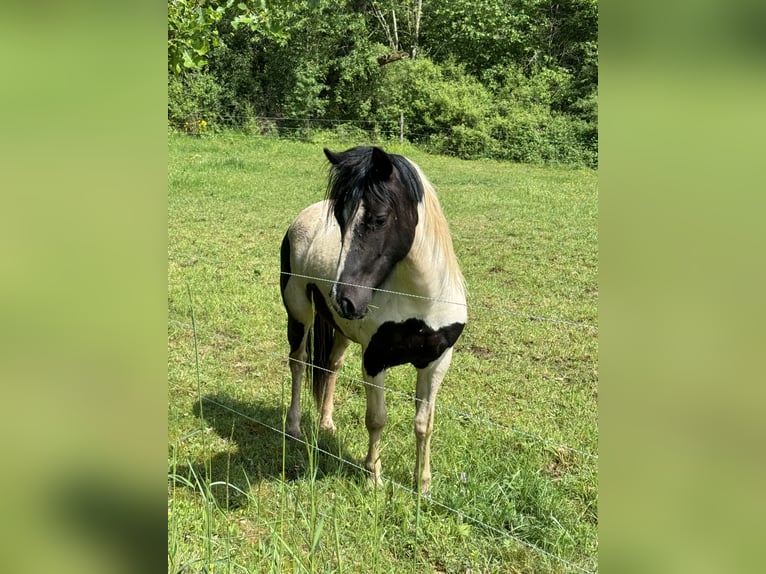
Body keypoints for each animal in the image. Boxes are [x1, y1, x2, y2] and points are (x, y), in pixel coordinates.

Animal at [280, 145, 464, 496]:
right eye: (340, 218)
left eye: (379, 218)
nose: (344, 298)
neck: (422, 302)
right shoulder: (374, 360)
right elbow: (377, 418)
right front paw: (374, 477)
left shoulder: (437, 361)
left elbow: (425, 423)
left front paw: (423, 484)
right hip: (299, 313)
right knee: (299, 362)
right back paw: (294, 427)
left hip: (340, 329)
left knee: (331, 367)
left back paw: (326, 422)